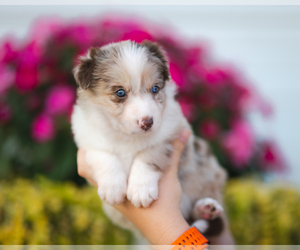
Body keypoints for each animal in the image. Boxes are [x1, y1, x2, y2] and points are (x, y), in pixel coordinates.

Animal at [72, 39, 234, 244]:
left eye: (155, 89)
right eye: (120, 93)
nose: (147, 122)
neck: (128, 136)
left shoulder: (168, 136)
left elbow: (147, 155)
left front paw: (141, 189)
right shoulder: (88, 139)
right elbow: (105, 156)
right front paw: (112, 187)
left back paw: (207, 208)